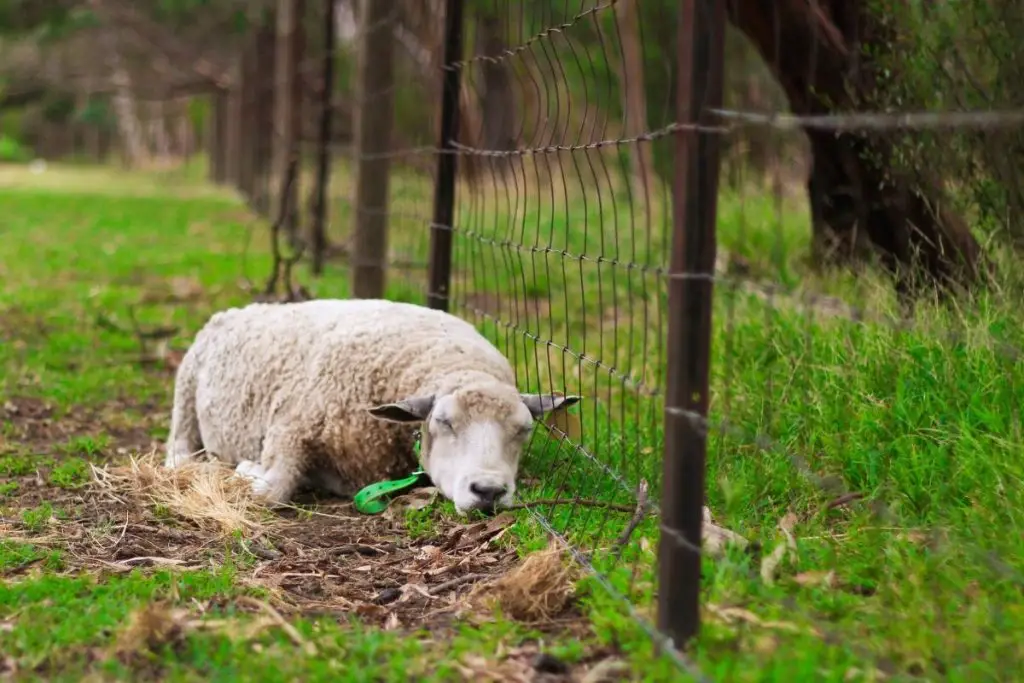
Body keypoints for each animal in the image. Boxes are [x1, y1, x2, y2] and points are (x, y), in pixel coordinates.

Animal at [163, 296, 581, 516]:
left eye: (524, 430)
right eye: (443, 422)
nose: (489, 491)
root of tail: (242, 309)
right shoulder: (292, 424)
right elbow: (273, 489)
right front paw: (248, 472)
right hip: (185, 390)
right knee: (177, 446)